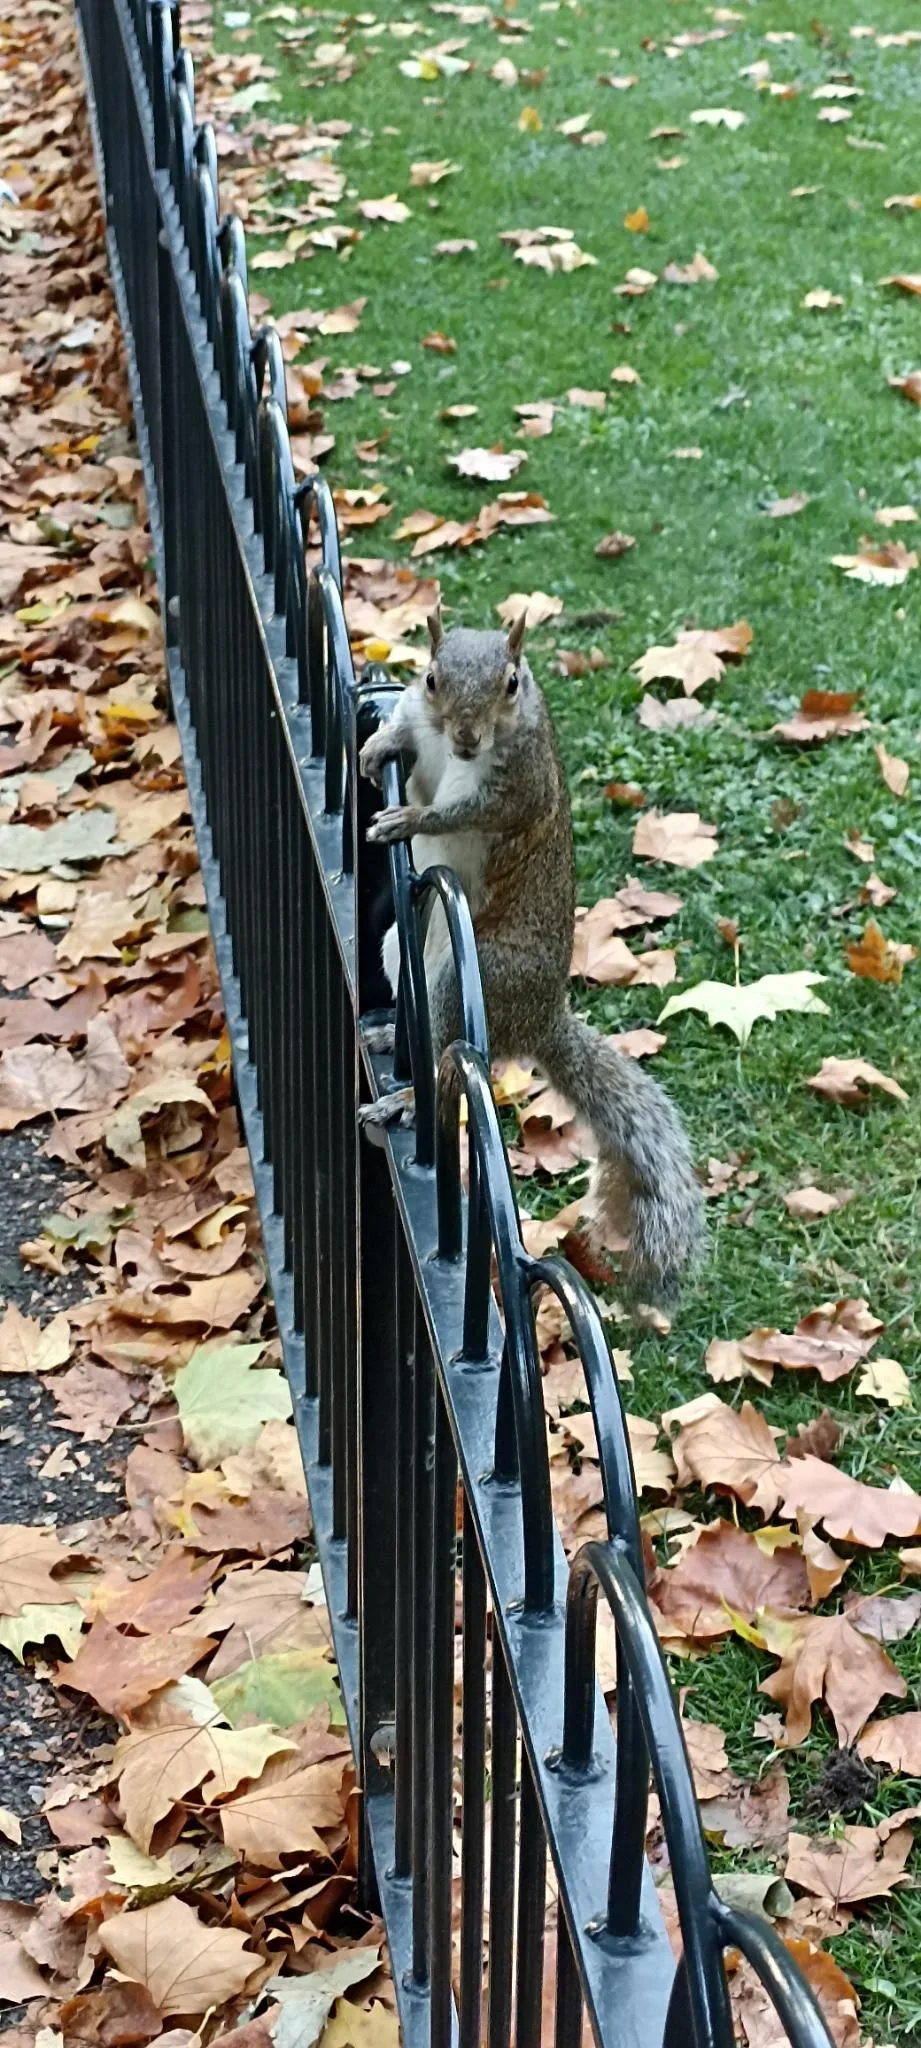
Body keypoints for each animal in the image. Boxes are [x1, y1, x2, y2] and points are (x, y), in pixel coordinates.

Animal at [359, 606, 703, 1295]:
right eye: (431, 678)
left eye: (512, 684)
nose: (467, 738)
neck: (451, 747)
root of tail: (540, 1016)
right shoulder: (419, 722)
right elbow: (403, 738)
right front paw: (377, 747)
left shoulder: (518, 785)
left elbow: (461, 811)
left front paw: (410, 820)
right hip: (398, 948)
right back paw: (389, 1037)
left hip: (481, 974)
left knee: (454, 1057)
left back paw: (405, 1100)